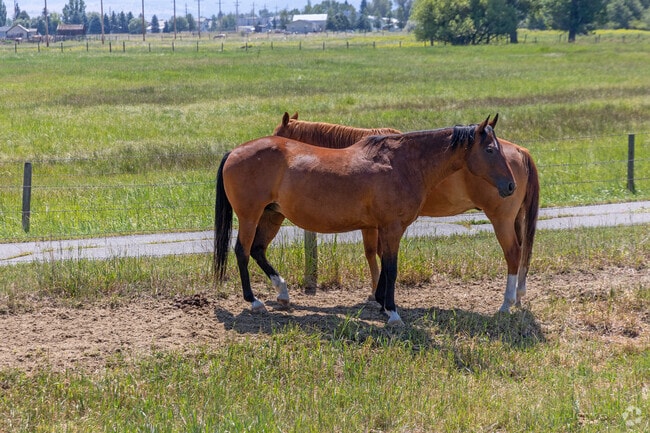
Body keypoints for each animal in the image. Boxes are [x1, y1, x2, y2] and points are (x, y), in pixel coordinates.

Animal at [214, 116, 516, 325]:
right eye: (490, 150)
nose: (510, 186)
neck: (403, 164)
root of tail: (235, 151)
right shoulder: (392, 228)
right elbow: (390, 267)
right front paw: (392, 312)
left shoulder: (381, 227)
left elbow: (381, 262)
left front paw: (382, 303)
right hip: (250, 216)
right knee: (242, 251)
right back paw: (254, 301)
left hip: (272, 214)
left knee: (257, 250)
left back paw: (282, 292)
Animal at [273, 112, 539, 312]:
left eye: (278, 134)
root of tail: (521, 151)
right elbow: (380, 255)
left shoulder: (373, 225)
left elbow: (373, 254)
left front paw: (377, 294)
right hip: (514, 219)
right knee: (521, 253)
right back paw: (517, 297)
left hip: (501, 220)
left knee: (513, 254)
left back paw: (505, 304)